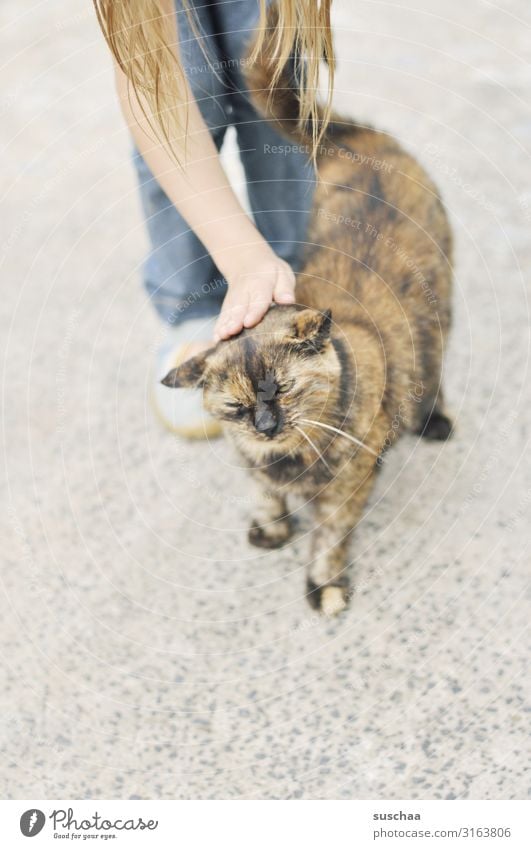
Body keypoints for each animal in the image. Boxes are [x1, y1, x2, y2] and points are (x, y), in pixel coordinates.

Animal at [162, 16, 454, 612]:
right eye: (236, 406)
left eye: (286, 389)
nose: (267, 425)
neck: (286, 458)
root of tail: (357, 142)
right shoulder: (250, 461)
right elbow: (263, 490)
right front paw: (271, 526)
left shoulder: (348, 484)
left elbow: (330, 535)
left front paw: (325, 586)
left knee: (434, 359)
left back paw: (433, 418)